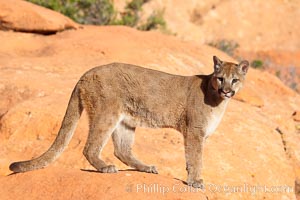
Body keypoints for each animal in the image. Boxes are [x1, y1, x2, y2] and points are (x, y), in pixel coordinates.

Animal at [9, 55, 248, 188]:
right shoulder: (195, 132)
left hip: (126, 121)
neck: (217, 100)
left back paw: (146, 167)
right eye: (220, 78)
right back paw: (106, 168)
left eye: (235, 80)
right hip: (107, 113)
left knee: (121, 150)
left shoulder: (199, 135)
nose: (227, 90)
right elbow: (196, 159)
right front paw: (196, 181)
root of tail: (85, 74)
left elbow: (194, 159)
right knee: (91, 147)